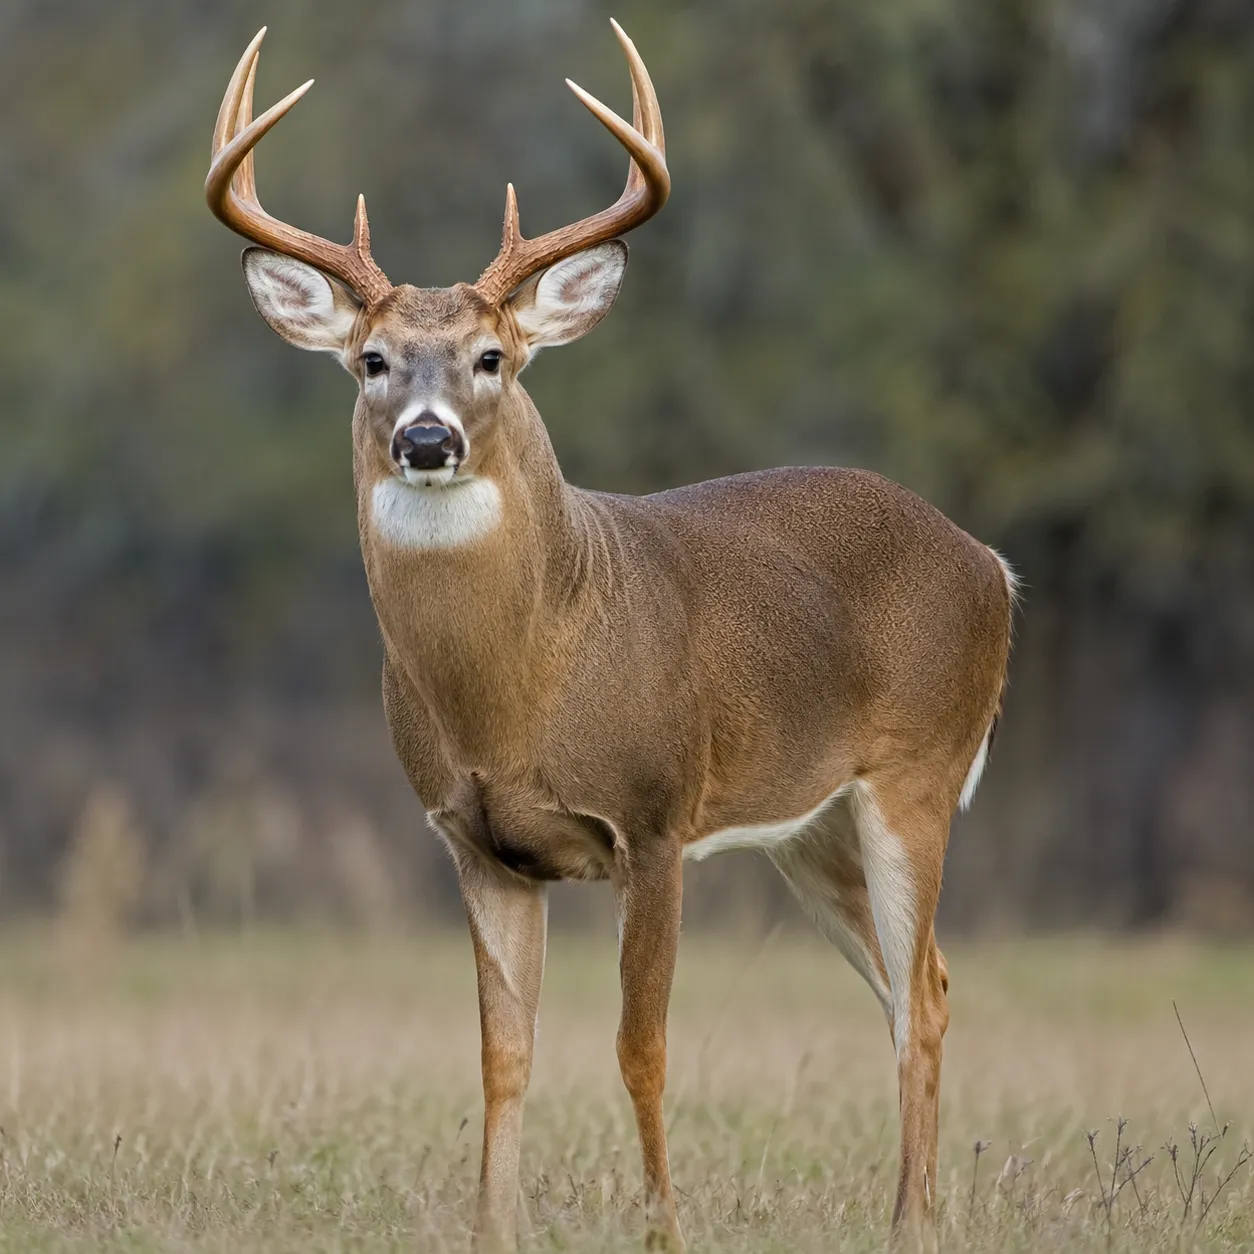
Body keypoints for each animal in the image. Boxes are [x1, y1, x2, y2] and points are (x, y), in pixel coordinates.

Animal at [206, 22, 1015, 1253]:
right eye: (372, 360)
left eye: (493, 357)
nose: (428, 439)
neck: (521, 688)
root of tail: (993, 567)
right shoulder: (474, 841)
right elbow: (503, 1053)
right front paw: (495, 1230)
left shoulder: (655, 815)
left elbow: (642, 1047)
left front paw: (663, 1231)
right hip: (809, 826)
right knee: (919, 984)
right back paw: (912, 1208)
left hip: (916, 774)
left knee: (919, 995)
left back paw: (910, 1226)